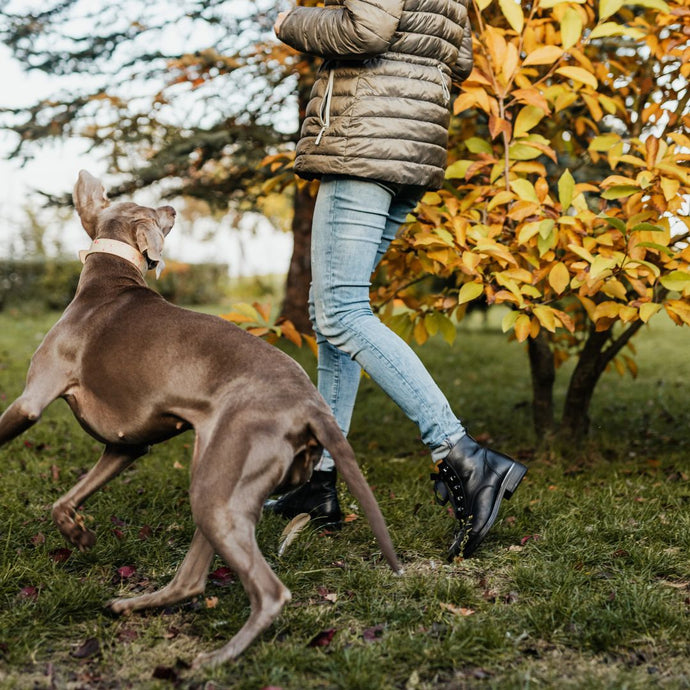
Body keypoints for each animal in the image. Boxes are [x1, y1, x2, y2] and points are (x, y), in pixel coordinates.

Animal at [0, 171, 398, 668]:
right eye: (152, 210)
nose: (172, 207)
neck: (109, 280)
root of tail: (311, 403)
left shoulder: (31, 401)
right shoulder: (126, 445)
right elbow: (64, 501)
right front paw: (79, 536)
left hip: (218, 480)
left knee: (270, 593)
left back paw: (217, 658)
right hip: (221, 484)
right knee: (191, 580)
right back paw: (131, 605)